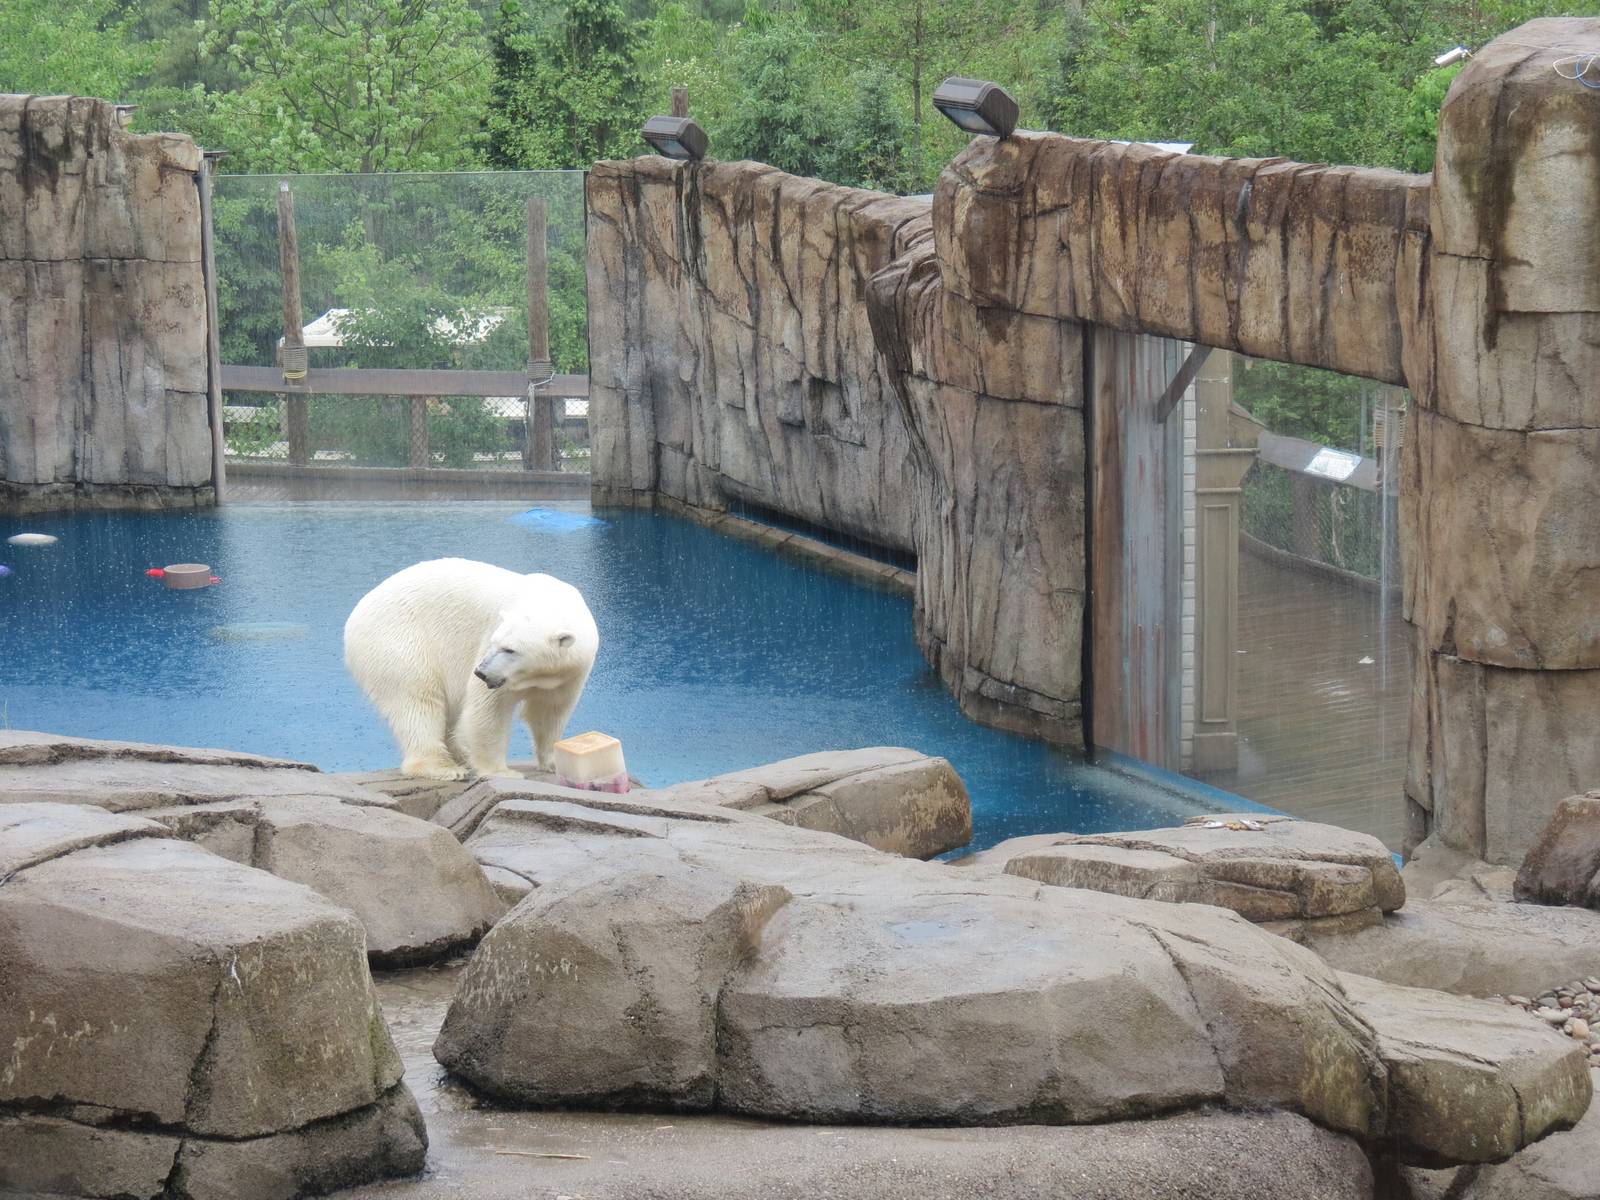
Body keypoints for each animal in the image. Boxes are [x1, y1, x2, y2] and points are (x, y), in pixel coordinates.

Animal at [343, 558, 599, 780]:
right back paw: (443, 768)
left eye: (510, 649)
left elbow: (550, 711)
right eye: (495, 642)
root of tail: (355, 614)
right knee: (417, 700)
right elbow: (488, 711)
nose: (481, 672)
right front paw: (502, 772)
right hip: (398, 641)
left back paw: (461, 755)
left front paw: (554, 761)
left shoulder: (570, 672)